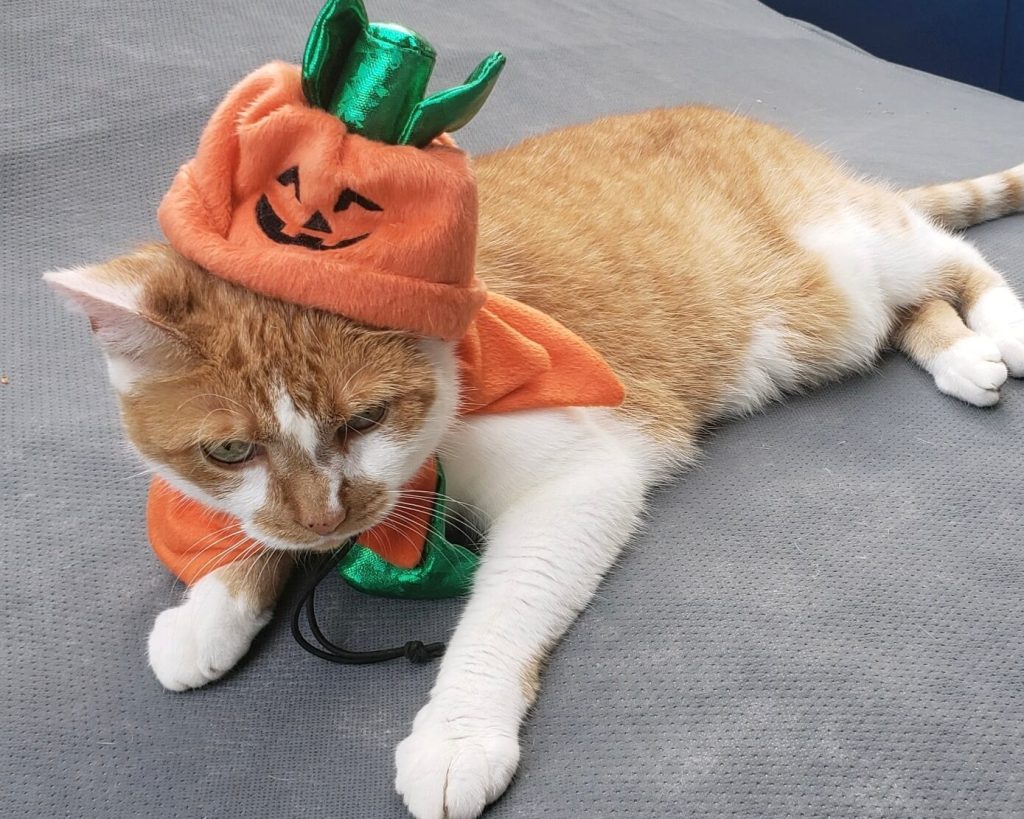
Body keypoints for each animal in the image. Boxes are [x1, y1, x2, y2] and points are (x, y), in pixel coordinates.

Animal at [44, 105, 1024, 814]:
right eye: (228, 447)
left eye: (367, 417)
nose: (328, 516)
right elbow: (252, 531)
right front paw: (213, 603)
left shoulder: (579, 476)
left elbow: (504, 610)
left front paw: (456, 733)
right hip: (849, 307)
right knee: (910, 307)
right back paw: (958, 353)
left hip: (854, 249)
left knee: (950, 255)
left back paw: (1003, 329)